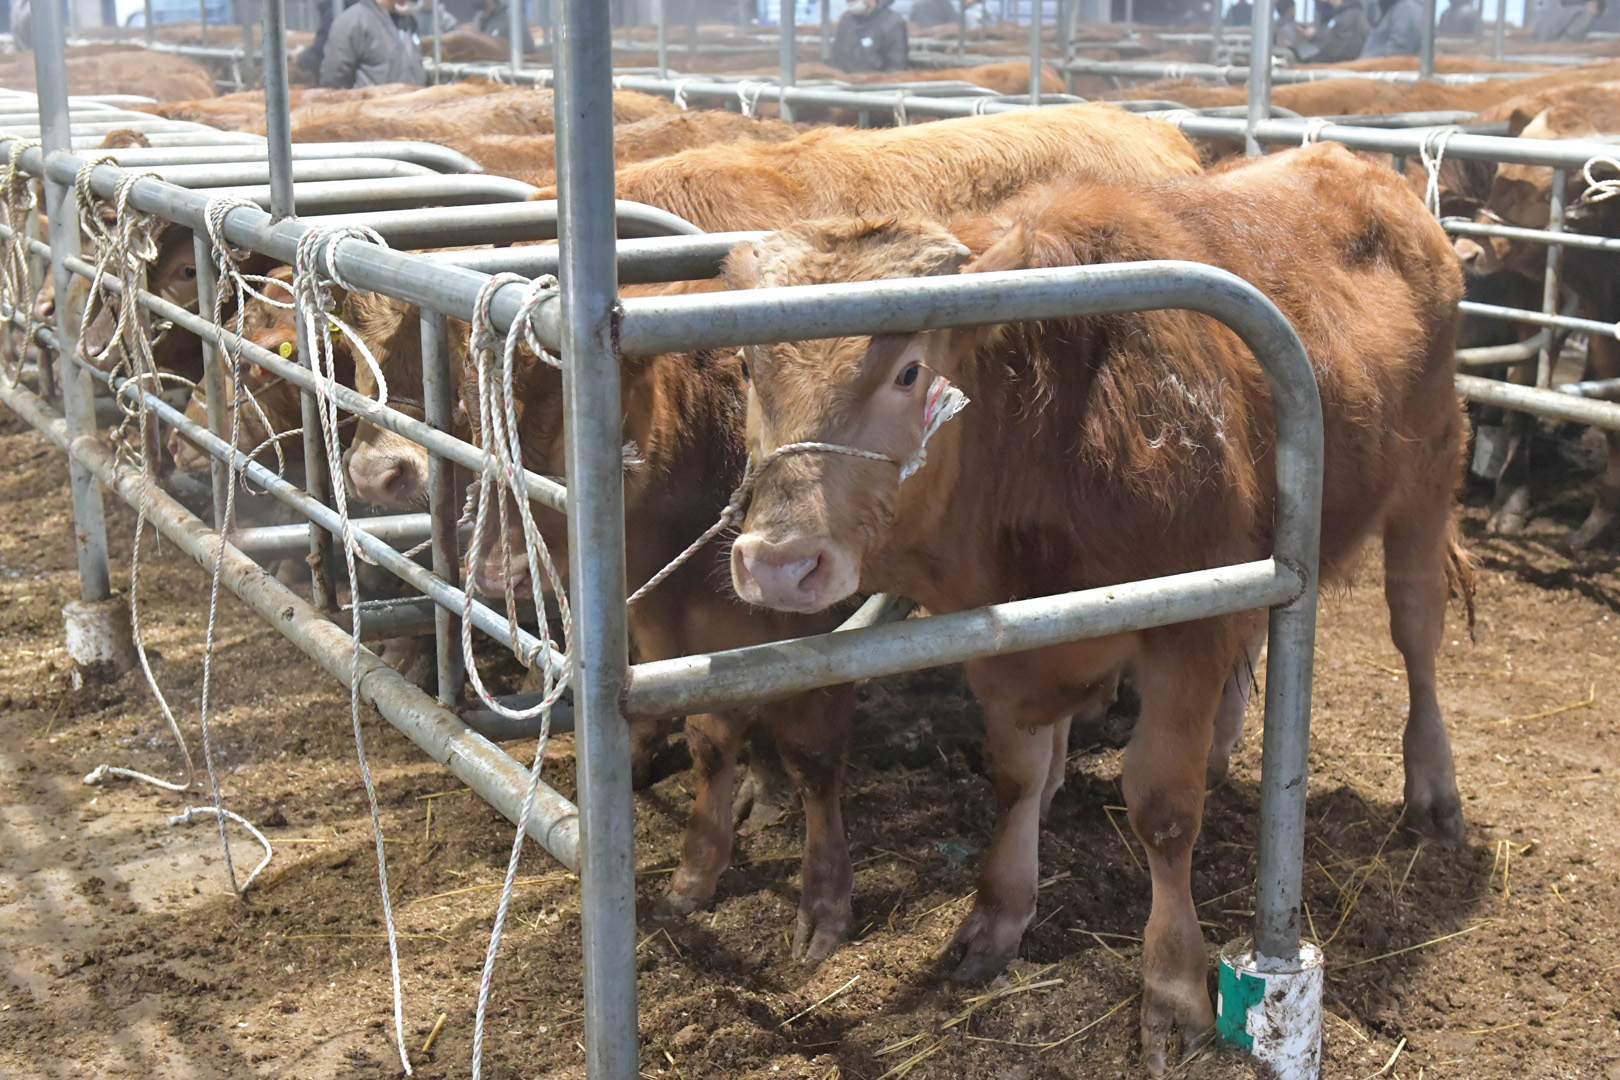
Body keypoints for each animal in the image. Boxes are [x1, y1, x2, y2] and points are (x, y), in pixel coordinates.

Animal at [724, 143, 1471, 1070]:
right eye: (746, 368)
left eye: (908, 371)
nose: (778, 563)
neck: (1050, 432)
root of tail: (1362, 168)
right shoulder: (1007, 639)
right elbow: (1013, 775)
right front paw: (997, 914)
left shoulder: (1189, 616)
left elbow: (1162, 807)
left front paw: (1174, 985)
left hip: (1428, 477)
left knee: (1417, 632)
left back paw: (1432, 788)